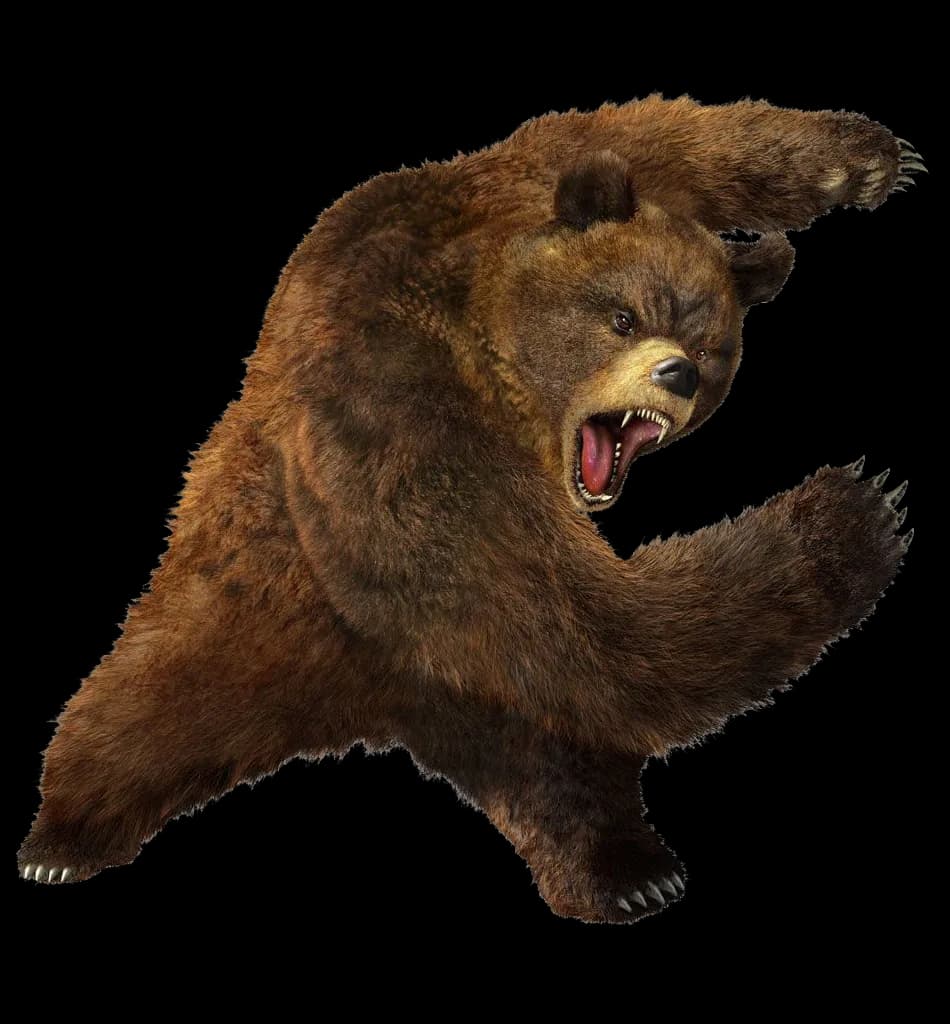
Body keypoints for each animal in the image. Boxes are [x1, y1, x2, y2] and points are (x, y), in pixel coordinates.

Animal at [17, 93, 922, 923]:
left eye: (713, 345)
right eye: (622, 315)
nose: (678, 374)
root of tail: (363, 708)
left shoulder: (526, 179)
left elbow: (661, 133)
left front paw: (872, 160)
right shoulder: (394, 404)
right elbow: (582, 610)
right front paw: (854, 511)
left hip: (454, 684)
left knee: (550, 756)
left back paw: (628, 871)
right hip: (246, 615)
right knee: (145, 704)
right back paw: (58, 839)